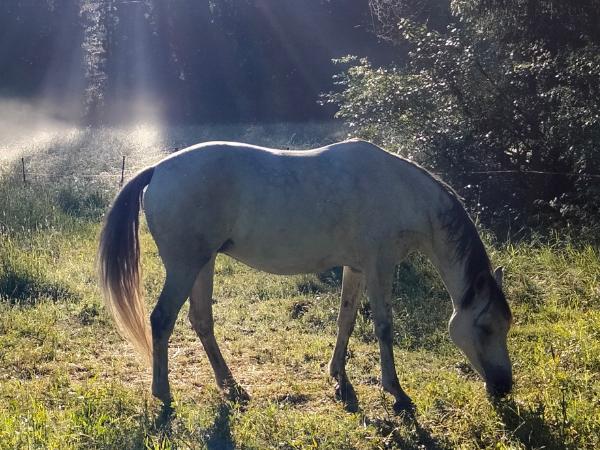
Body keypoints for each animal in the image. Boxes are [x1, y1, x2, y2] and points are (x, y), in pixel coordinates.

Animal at [98, 139, 512, 413]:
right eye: (486, 327)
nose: (504, 386)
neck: (401, 192)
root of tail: (158, 170)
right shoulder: (380, 266)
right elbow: (383, 327)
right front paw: (395, 390)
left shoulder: (357, 267)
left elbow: (347, 319)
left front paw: (339, 378)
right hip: (185, 267)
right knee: (161, 320)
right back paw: (163, 393)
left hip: (203, 264)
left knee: (201, 321)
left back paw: (232, 387)